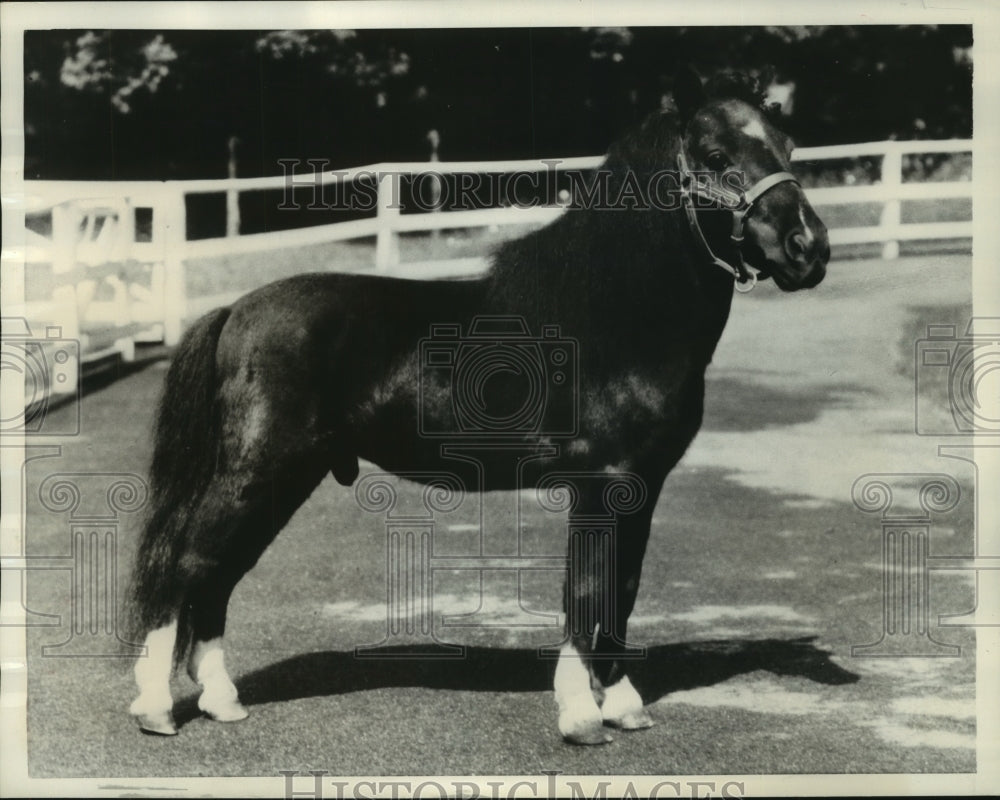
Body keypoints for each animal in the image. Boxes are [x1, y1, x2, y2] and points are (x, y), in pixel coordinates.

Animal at [126, 68, 829, 745]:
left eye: (788, 146)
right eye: (715, 155)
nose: (809, 248)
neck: (613, 315)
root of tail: (234, 311)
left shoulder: (643, 486)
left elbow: (621, 591)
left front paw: (623, 705)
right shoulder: (602, 483)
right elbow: (586, 591)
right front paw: (580, 715)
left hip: (283, 479)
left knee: (219, 575)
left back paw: (222, 701)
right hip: (257, 471)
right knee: (190, 564)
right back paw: (157, 709)